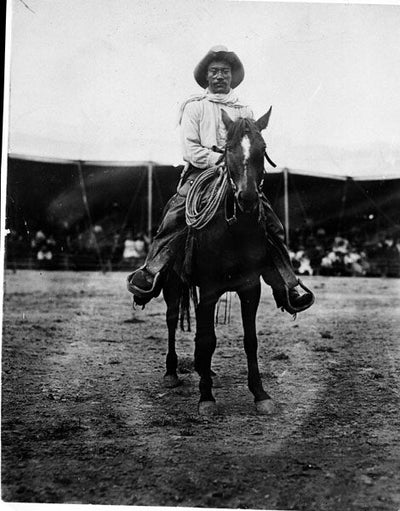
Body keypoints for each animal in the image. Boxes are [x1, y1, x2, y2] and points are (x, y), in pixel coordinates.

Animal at [162, 109, 276, 416]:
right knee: (172, 319)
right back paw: (172, 372)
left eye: (262, 148)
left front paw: (260, 394)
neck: (234, 232)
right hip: (172, 284)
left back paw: (204, 369)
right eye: (227, 149)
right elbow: (207, 340)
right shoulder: (210, 289)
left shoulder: (251, 288)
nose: (247, 197)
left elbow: (250, 340)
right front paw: (206, 397)